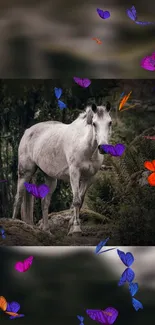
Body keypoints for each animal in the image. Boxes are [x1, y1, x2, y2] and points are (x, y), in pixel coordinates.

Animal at [11, 101, 111, 233]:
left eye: (110, 122)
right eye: (94, 124)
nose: (103, 147)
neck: (85, 146)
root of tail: (27, 131)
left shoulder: (88, 178)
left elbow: (80, 200)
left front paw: (71, 225)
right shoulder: (74, 174)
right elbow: (76, 201)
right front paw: (75, 229)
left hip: (51, 178)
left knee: (45, 202)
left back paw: (47, 231)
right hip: (25, 173)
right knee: (18, 198)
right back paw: (14, 222)